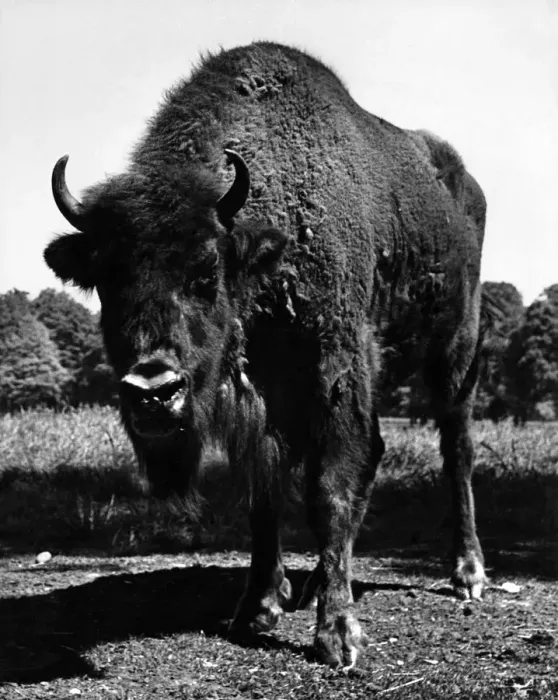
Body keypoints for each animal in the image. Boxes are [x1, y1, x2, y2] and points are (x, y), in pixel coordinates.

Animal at [45, 42, 487, 669]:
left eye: (206, 271)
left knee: (457, 450)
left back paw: (467, 574)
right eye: (107, 280)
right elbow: (264, 494)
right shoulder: (258, 398)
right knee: (380, 452)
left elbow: (327, 490)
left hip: (455, 348)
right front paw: (259, 605)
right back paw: (315, 584)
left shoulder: (334, 371)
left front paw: (338, 634)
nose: (153, 391)